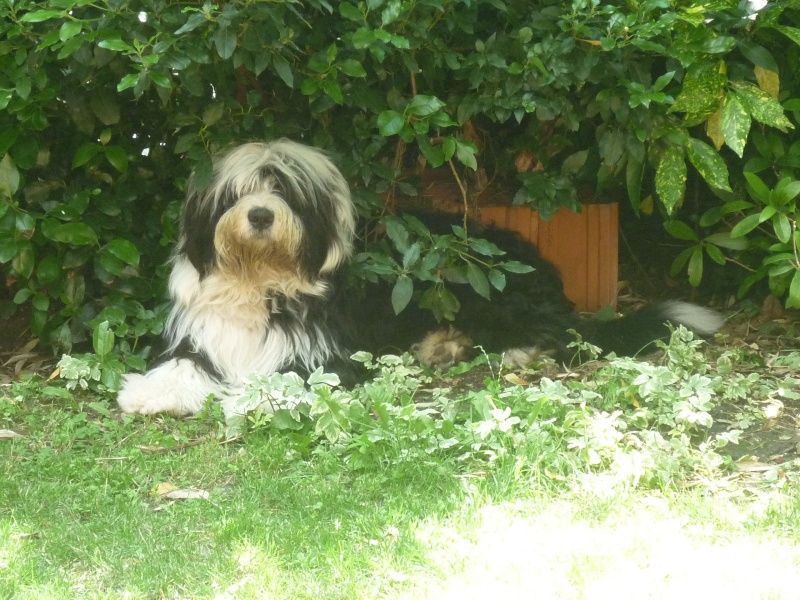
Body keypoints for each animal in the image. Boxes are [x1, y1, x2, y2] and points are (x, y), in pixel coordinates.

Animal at [115, 139, 720, 420]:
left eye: (285, 189)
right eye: (238, 193)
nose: (261, 215)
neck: (259, 280)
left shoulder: (328, 357)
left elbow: (286, 379)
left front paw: (253, 400)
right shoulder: (201, 338)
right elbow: (181, 367)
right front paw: (150, 393)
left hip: (493, 295)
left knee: (554, 334)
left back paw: (509, 349)